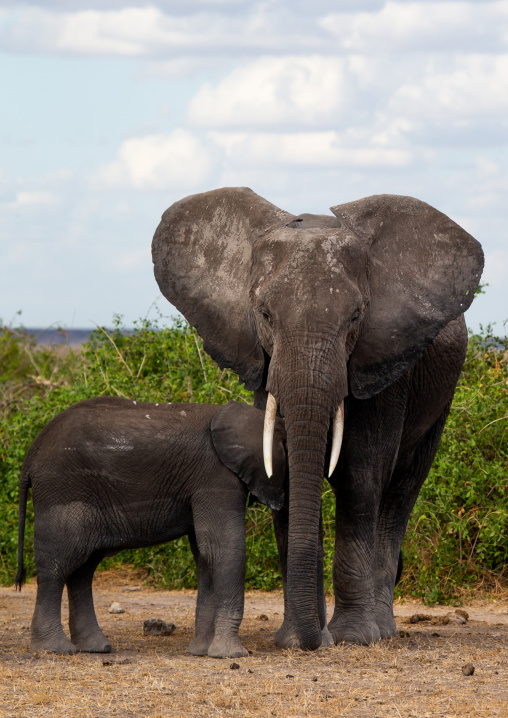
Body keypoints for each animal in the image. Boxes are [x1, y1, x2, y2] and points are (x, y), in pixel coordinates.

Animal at [16, 397, 287, 657]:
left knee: (83, 568)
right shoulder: (215, 477)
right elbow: (223, 549)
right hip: (62, 492)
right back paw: (55, 649)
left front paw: (201, 651)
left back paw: (94, 647)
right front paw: (231, 655)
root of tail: (32, 452)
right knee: (58, 565)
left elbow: (204, 553)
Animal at [151, 188, 484, 650]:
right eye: (264, 314)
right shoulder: (264, 362)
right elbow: (281, 465)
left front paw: (352, 638)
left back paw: (382, 631)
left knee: (400, 493)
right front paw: (296, 639)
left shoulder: (381, 363)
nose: (311, 642)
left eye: (356, 317)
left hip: (442, 392)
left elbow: (360, 475)